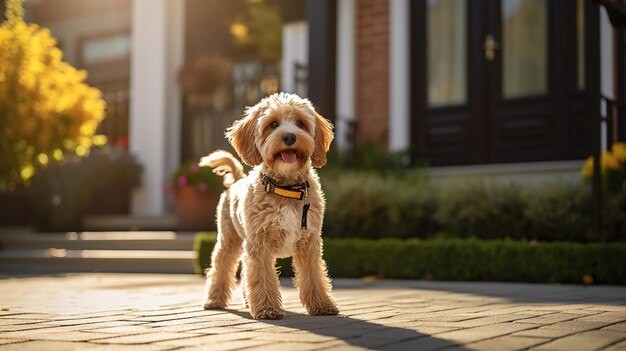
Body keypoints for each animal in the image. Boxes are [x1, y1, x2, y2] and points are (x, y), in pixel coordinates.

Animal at [199, 92, 336, 320]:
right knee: (220, 269)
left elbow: (314, 275)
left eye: (300, 123)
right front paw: (267, 309)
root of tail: (237, 179)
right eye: (273, 124)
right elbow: (262, 277)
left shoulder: (310, 242)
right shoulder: (259, 243)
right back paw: (214, 300)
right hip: (228, 240)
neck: (286, 189)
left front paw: (322, 305)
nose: (289, 137)